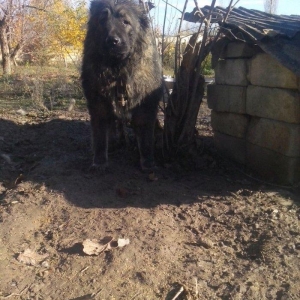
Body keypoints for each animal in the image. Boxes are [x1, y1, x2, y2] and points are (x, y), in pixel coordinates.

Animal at [81, 0, 162, 171]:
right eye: (103, 20)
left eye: (126, 22)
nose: (113, 41)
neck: (119, 71)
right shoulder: (98, 104)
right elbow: (100, 136)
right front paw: (99, 161)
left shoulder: (146, 106)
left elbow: (145, 138)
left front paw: (148, 163)